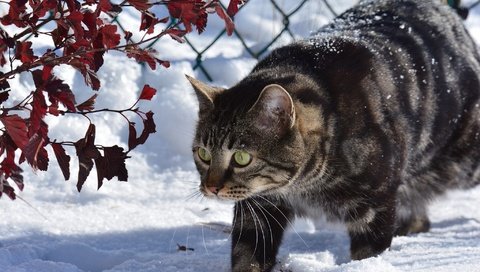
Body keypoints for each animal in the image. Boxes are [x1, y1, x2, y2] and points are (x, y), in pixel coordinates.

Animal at [188, 1, 480, 270]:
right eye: (203, 154)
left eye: (241, 158)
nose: (211, 187)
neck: (303, 185)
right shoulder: (259, 207)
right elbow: (246, 254)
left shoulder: (375, 205)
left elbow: (368, 254)